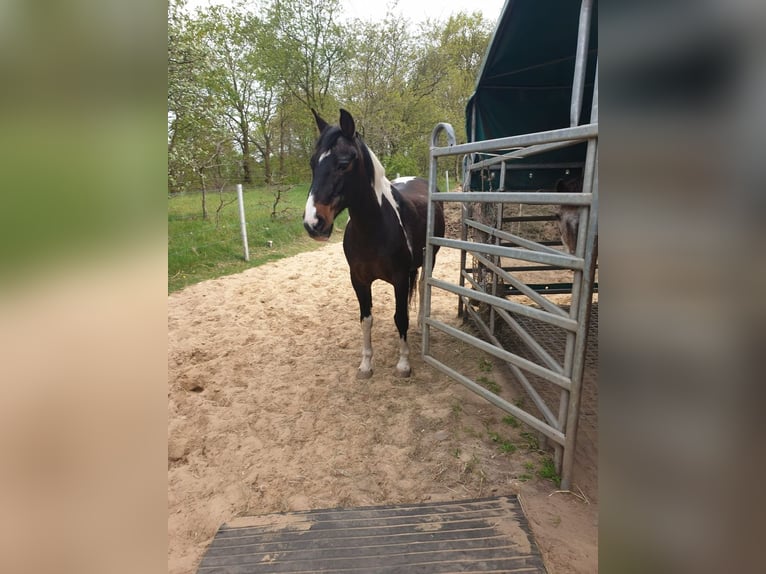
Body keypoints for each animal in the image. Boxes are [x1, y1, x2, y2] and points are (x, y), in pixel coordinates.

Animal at [303, 108, 445, 379]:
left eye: (343, 163)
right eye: (313, 163)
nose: (313, 223)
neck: (373, 230)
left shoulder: (400, 278)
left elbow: (400, 317)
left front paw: (403, 364)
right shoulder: (358, 280)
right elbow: (366, 319)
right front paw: (366, 365)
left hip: (430, 258)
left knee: (423, 287)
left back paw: (420, 325)